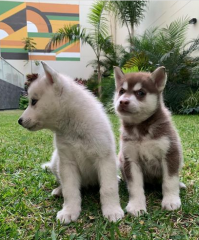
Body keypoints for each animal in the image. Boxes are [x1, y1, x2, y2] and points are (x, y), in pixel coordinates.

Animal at [19, 61, 124, 224]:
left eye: (34, 101)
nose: (20, 121)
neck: (73, 128)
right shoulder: (67, 164)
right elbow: (70, 190)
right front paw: (69, 211)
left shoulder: (105, 159)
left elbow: (108, 188)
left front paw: (112, 210)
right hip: (56, 163)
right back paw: (59, 190)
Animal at [113, 66, 185, 217]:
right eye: (121, 91)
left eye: (140, 92)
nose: (123, 101)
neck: (141, 128)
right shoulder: (130, 159)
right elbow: (135, 186)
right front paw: (136, 206)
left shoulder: (170, 153)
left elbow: (170, 181)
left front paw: (171, 200)